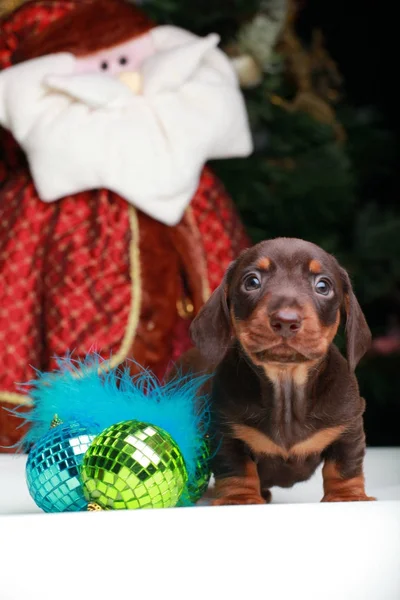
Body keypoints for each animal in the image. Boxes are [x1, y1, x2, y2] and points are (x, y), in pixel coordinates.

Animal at [188, 237, 376, 504]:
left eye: (323, 286)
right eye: (252, 282)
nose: (286, 321)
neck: (286, 387)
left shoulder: (348, 427)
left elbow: (344, 465)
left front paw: (347, 496)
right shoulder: (225, 431)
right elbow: (235, 468)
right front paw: (240, 498)